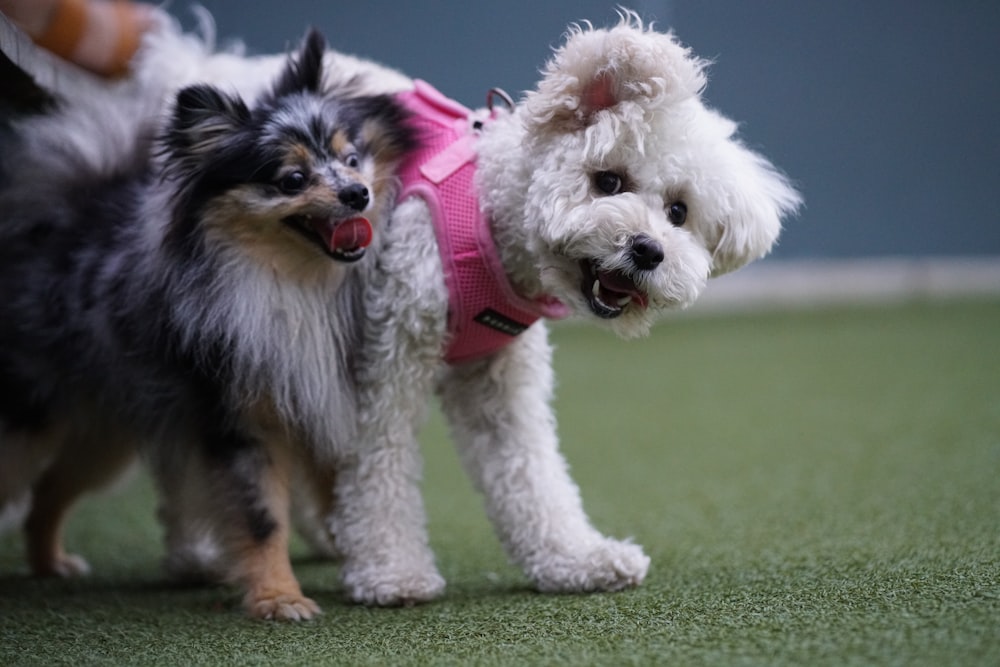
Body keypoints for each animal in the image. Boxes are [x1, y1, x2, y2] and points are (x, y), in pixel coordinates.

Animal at [0, 27, 414, 620]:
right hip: (29, 422)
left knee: (50, 489)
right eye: (292, 180)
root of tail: (62, 215)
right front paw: (278, 599)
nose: (358, 194)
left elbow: (342, 496)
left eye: (352, 157)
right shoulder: (244, 422)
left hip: (104, 435)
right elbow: (262, 519)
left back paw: (49, 563)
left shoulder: (327, 406)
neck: (298, 285)